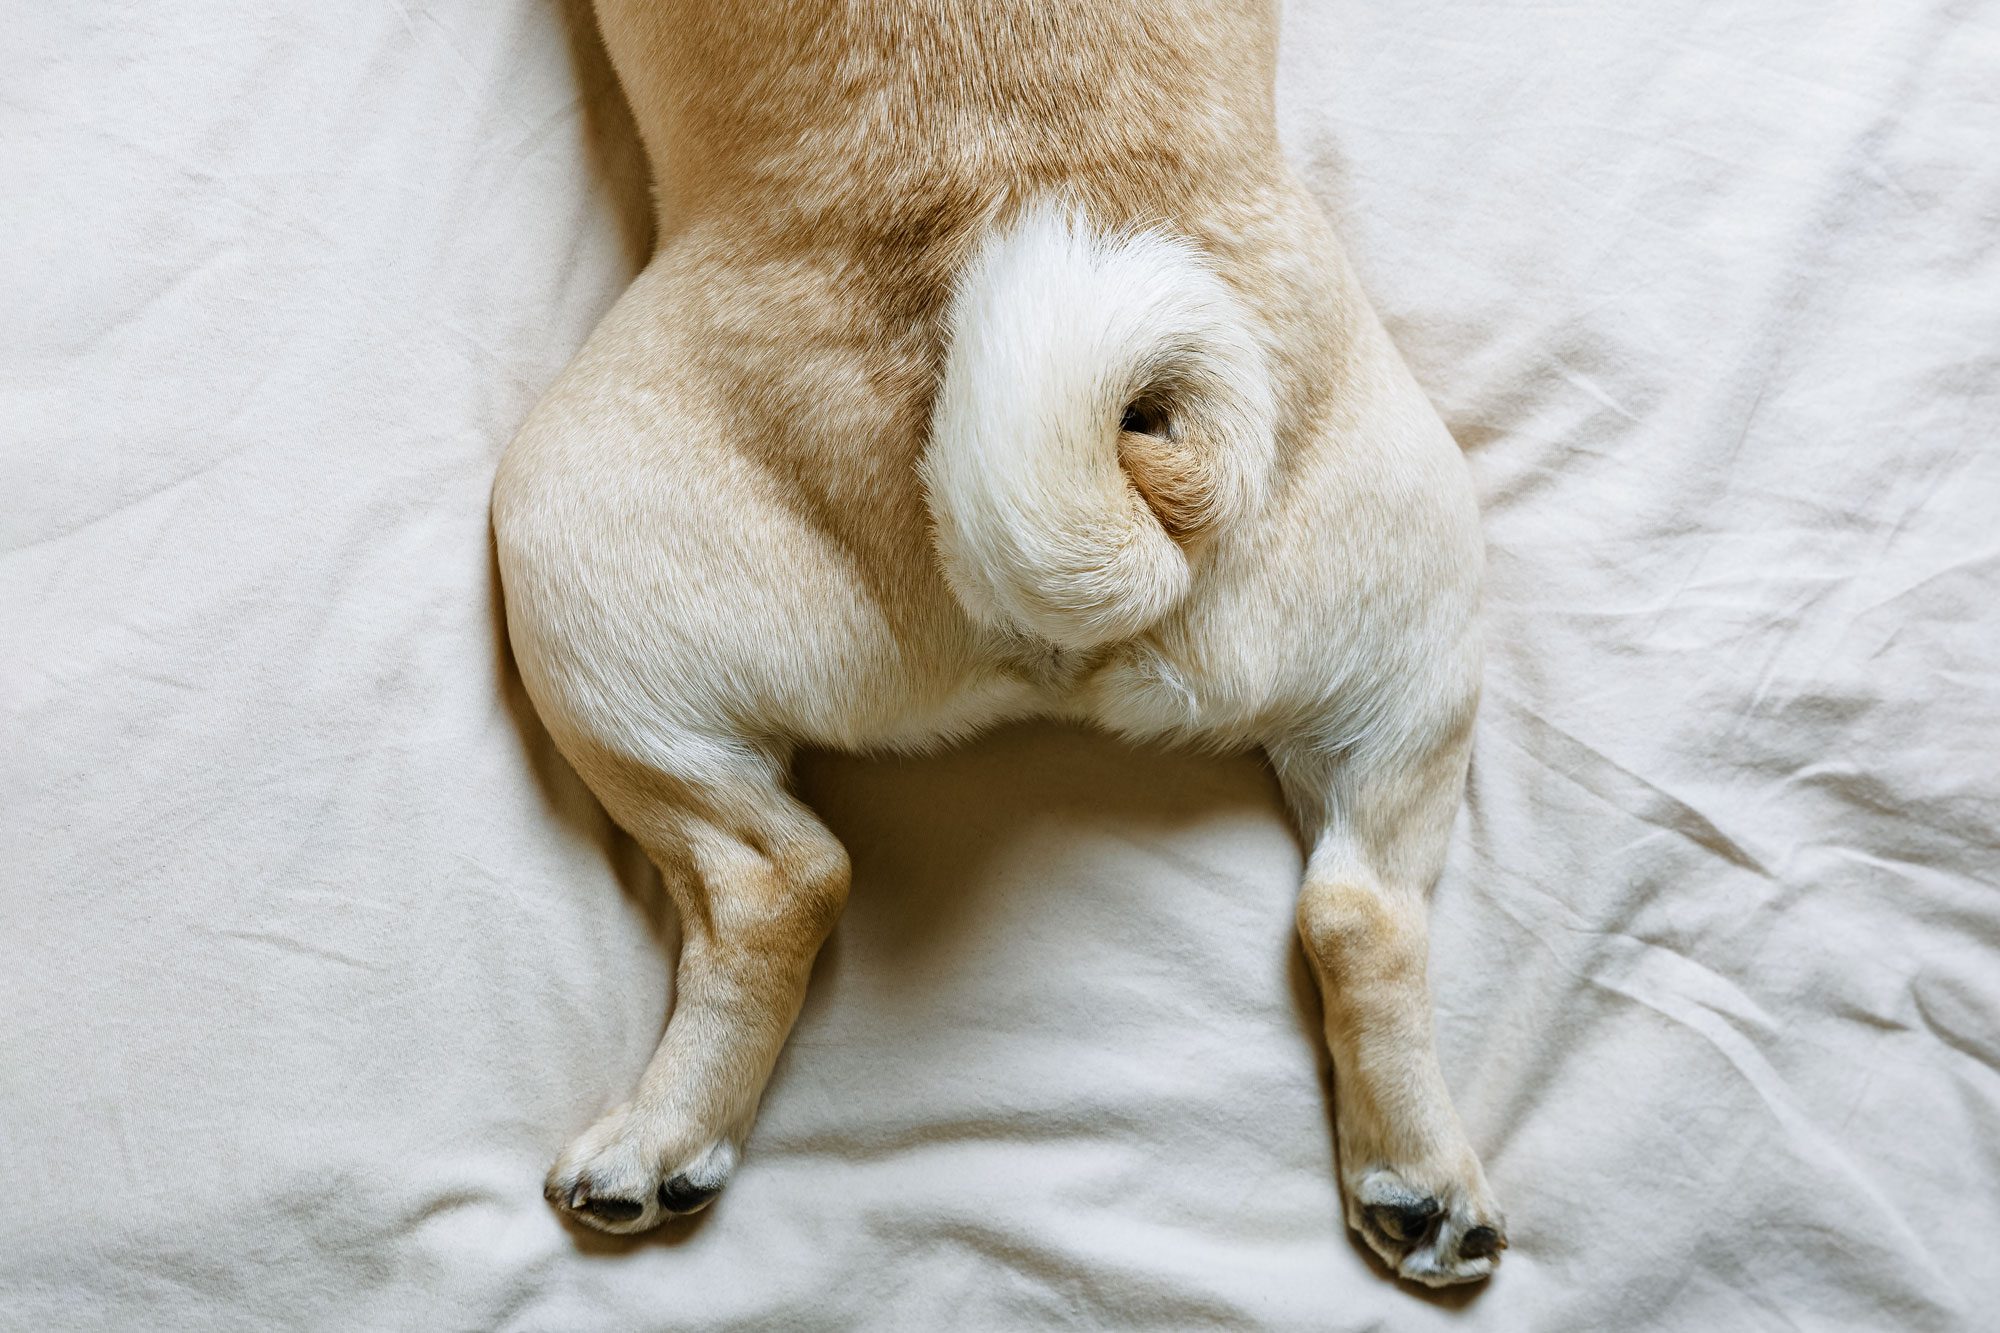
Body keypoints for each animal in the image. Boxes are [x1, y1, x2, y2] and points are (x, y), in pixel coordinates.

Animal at [492, 0, 1504, 1288]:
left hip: (563, 557)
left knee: (776, 879)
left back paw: (658, 1141)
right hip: (1413, 634)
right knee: (1362, 905)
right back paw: (1419, 1179)